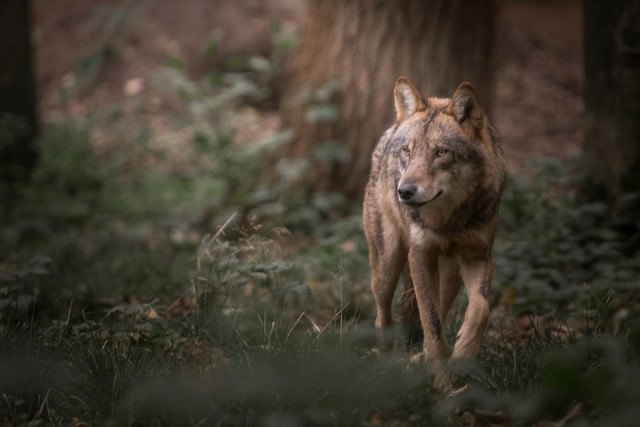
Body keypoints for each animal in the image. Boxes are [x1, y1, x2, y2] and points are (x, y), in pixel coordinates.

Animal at [364, 77, 504, 374]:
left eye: (441, 152)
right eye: (407, 151)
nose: (404, 191)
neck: (448, 221)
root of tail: (391, 128)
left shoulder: (480, 256)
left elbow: (481, 308)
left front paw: (462, 355)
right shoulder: (419, 255)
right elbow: (431, 320)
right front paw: (440, 372)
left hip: (450, 277)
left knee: (440, 305)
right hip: (387, 267)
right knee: (383, 316)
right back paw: (386, 361)